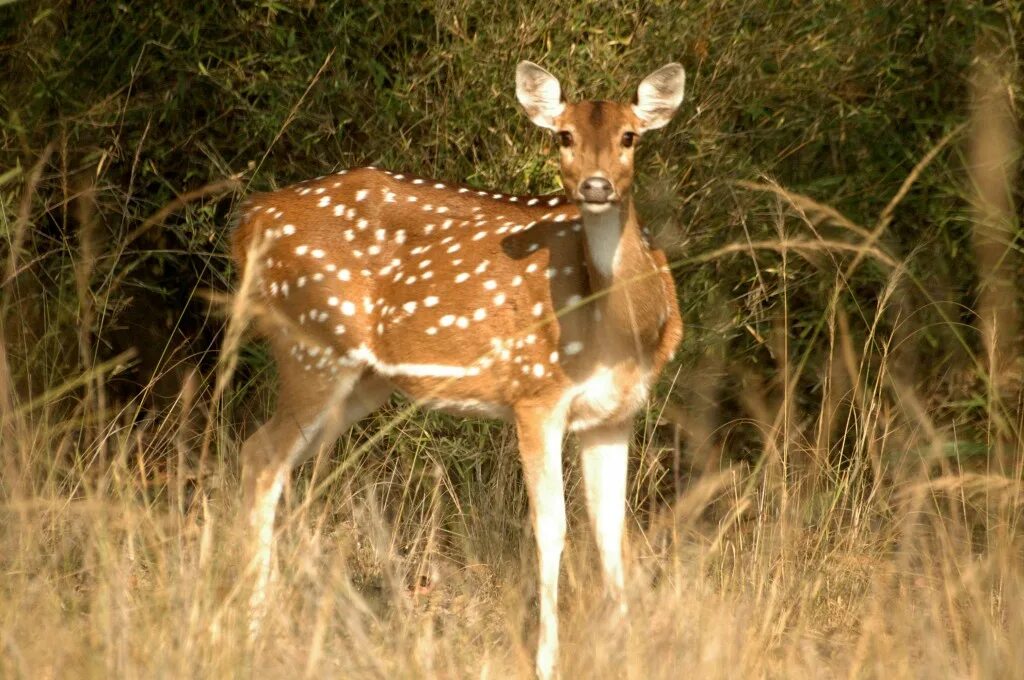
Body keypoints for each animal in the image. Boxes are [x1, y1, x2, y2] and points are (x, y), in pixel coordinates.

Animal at [232, 61, 688, 675]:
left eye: (630, 136)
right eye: (563, 135)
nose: (595, 187)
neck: (622, 332)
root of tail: (251, 219)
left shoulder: (614, 415)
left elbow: (611, 536)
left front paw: (626, 654)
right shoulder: (535, 394)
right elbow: (551, 527)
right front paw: (547, 662)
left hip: (362, 381)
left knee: (274, 463)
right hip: (312, 345)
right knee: (259, 455)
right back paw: (252, 628)